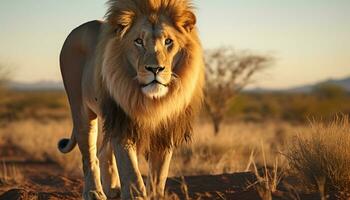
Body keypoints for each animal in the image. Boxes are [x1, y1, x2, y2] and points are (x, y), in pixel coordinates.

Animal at [57, 0, 205, 199]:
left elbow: (159, 176)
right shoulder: (122, 122)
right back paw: (94, 192)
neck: (152, 101)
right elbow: (131, 172)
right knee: (89, 156)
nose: (155, 69)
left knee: (103, 151)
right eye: (138, 41)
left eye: (168, 41)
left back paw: (113, 189)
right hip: (81, 111)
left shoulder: (166, 129)